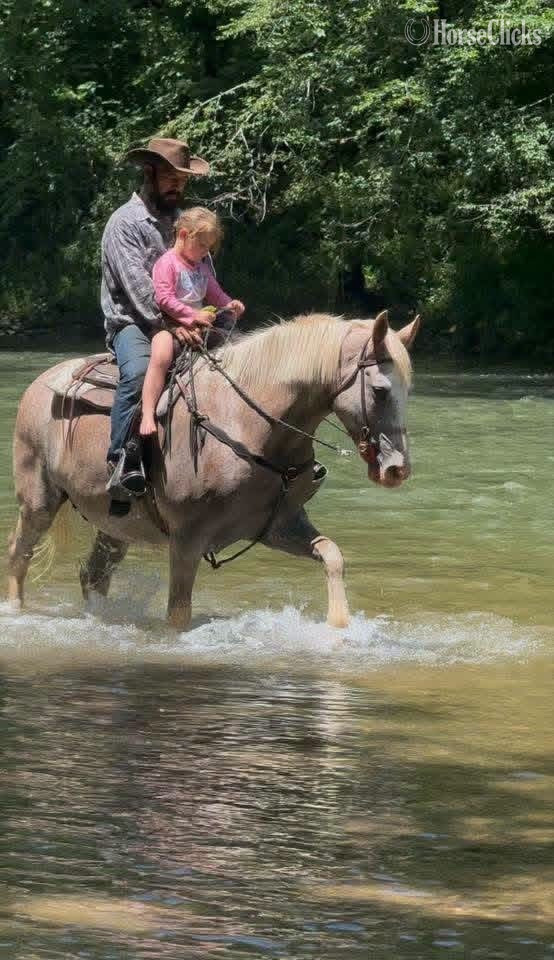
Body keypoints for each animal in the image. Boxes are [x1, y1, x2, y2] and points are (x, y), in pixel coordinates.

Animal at [8, 310, 419, 629]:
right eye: (380, 390)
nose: (397, 469)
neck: (249, 425)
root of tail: (43, 382)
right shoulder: (187, 539)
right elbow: (178, 615)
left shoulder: (279, 525)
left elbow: (332, 556)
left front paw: (338, 626)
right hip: (39, 500)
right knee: (19, 553)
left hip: (116, 524)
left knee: (94, 576)